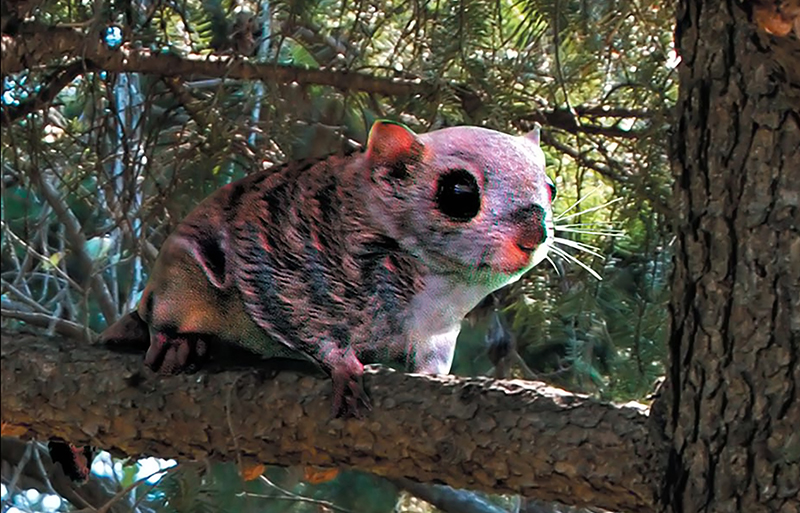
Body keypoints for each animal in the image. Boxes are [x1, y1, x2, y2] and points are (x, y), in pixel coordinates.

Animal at [100, 120, 556, 416]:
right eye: (459, 192)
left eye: (551, 188)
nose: (536, 232)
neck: (439, 285)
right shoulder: (291, 270)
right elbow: (308, 323)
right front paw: (342, 367)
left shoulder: (438, 332)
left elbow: (432, 359)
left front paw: (435, 376)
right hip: (182, 280)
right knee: (163, 314)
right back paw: (176, 341)